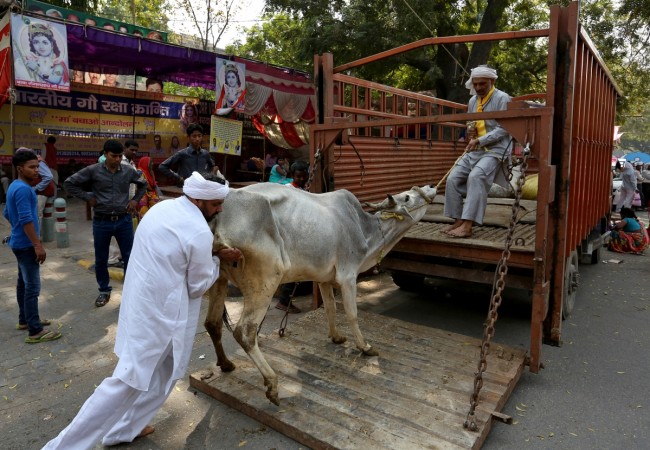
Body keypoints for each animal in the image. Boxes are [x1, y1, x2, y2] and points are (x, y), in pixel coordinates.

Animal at [205, 182, 432, 404]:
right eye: (407, 197)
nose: (430, 187)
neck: (365, 230)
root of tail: (221, 215)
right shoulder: (348, 276)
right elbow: (352, 314)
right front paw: (365, 347)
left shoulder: (324, 279)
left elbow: (330, 308)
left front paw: (336, 337)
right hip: (265, 281)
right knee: (244, 332)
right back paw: (272, 384)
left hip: (219, 280)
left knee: (213, 324)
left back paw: (226, 364)